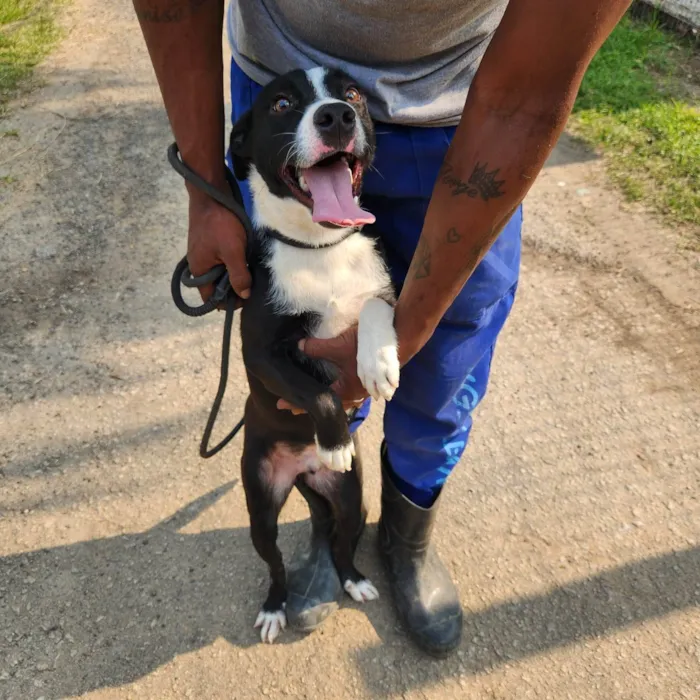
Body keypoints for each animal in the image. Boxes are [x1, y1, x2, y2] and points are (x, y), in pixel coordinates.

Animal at [231, 68, 400, 644]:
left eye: (352, 94)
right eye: (281, 104)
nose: (336, 116)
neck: (320, 249)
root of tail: (303, 472)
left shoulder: (379, 291)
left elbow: (372, 306)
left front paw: (379, 362)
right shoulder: (262, 355)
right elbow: (317, 391)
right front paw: (334, 438)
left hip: (353, 498)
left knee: (343, 542)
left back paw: (355, 580)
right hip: (261, 505)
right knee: (275, 564)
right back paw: (274, 607)